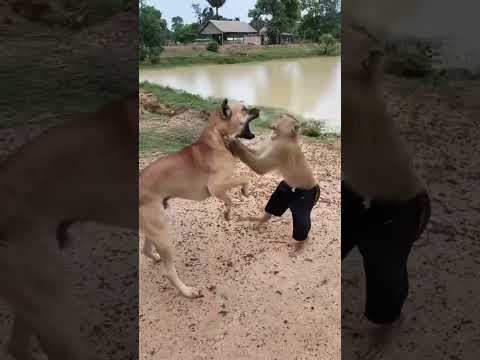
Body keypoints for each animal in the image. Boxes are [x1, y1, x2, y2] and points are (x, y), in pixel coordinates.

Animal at [139, 98, 258, 298]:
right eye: (244, 109)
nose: (258, 109)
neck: (218, 138)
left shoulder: (220, 188)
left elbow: (232, 193)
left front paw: (231, 207)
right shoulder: (216, 186)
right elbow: (242, 182)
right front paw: (237, 200)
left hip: (154, 228)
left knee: (146, 250)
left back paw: (155, 258)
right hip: (161, 232)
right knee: (169, 272)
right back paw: (188, 291)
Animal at [224, 114, 320, 245]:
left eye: (278, 125)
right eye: (279, 119)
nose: (272, 127)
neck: (284, 138)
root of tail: (315, 187)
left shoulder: (281, 149)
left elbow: (261, 167)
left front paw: (235, 144)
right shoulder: (270, 141)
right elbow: (257, 153)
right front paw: (236, 143)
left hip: (305, 198)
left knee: (302, 221)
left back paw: (301, 243)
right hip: (284, 190)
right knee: (275, 204)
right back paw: (261, 219)